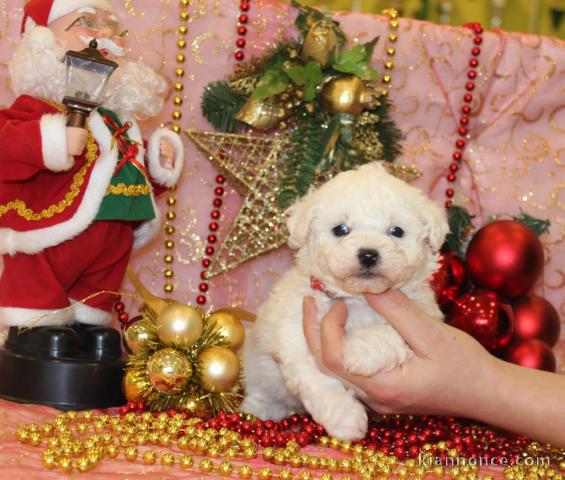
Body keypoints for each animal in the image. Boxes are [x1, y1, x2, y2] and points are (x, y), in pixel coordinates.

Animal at [240, 163, 448, 440]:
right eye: (340, 230)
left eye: (396, 232)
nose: (368, 254)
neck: (358, 298)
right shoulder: (296, 330)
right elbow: (316, 378)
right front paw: (345, 420)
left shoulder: (423, 319)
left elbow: (390, 331)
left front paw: (358, 350)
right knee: (263, 392)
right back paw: (254, 412)